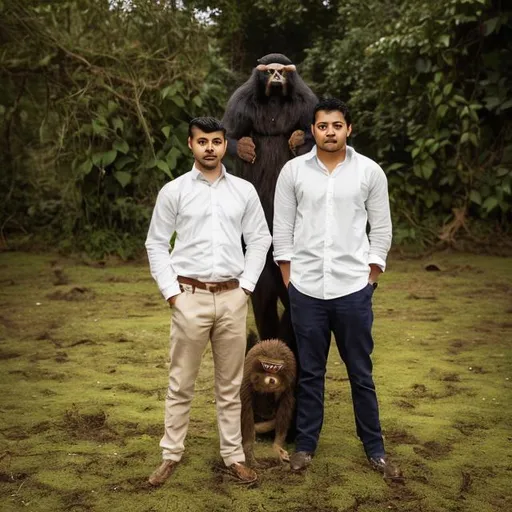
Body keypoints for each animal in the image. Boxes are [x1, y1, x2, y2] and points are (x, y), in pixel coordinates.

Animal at [240, 338, 296, 466]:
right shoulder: (247, 379)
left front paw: (277, 446)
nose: (271, 379)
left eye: (275, 368)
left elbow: (285, 408)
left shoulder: (289, 383)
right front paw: (248, 449)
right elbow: (246, 409)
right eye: (266, 366)